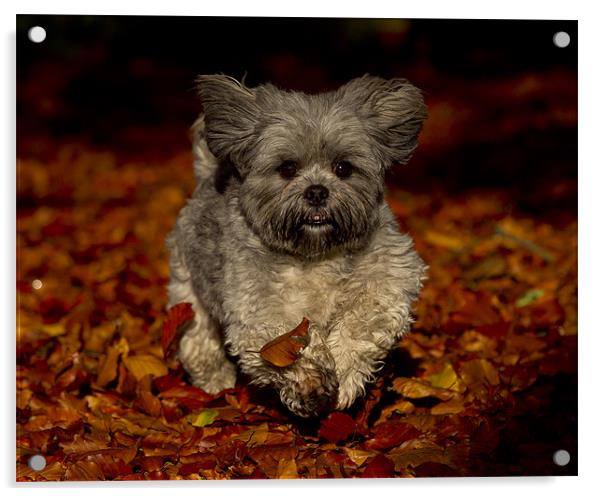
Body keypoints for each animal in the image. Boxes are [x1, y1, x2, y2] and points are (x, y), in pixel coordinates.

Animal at [164, 72, 426, 414]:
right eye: (287, 168)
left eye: (343, 167)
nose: (316, 191)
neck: (315, 255)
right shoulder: (258, 305)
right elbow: (287, 338)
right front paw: (310, 382)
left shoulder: (391, 278)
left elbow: (362, 322)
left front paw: (345, 375)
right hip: (189, 294)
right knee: (198, 343)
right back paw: (217, 384)